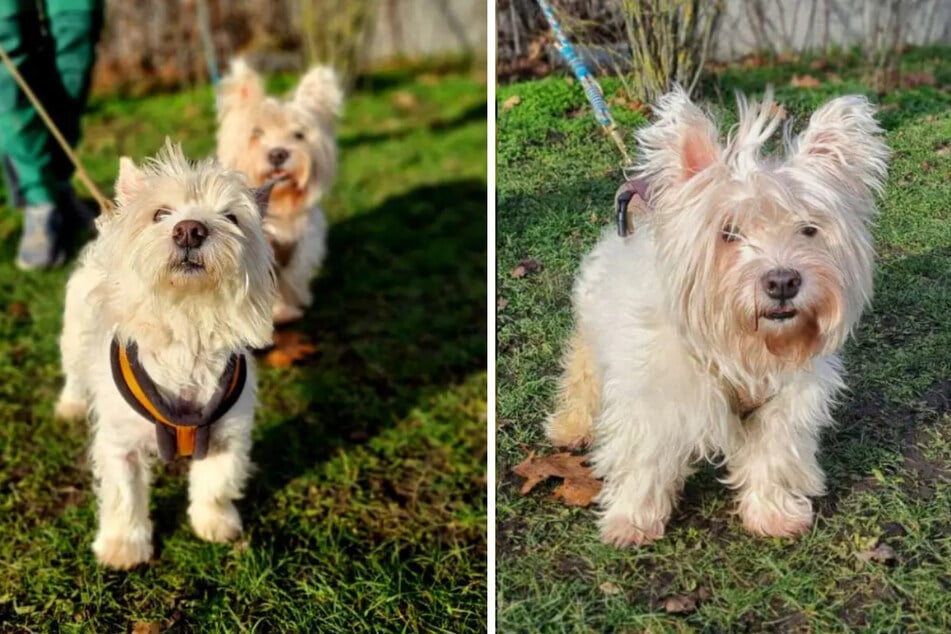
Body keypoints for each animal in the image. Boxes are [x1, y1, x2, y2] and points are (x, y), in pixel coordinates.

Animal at [55, 142, 278, 568]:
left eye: (230, 217)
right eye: (160, 214)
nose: (189, 229)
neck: (186, 320)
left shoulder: (229, 432)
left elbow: (217, 482)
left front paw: (215, 524)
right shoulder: (121, 443)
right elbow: (124, 496)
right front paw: (123, 547)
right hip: (74, 335)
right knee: (73, 373)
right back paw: (70, 405)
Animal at [216, 57, 342, 324]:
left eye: (299, 134)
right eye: (256, 133)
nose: (278, 154)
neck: (280, 204)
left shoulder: (303, 247)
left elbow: (292, 278)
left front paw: (293, 305)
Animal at [548, 86, 888, 544]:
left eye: (809, 229)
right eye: (728, 232)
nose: (783, 281)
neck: (743, 349)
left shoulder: (785, 403)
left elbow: (773, 456)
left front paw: (774, 513)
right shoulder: (654, 400)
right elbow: (644, 460)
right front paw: (631, 520)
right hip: (592, 334)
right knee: (581, 378)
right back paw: (570, 427)